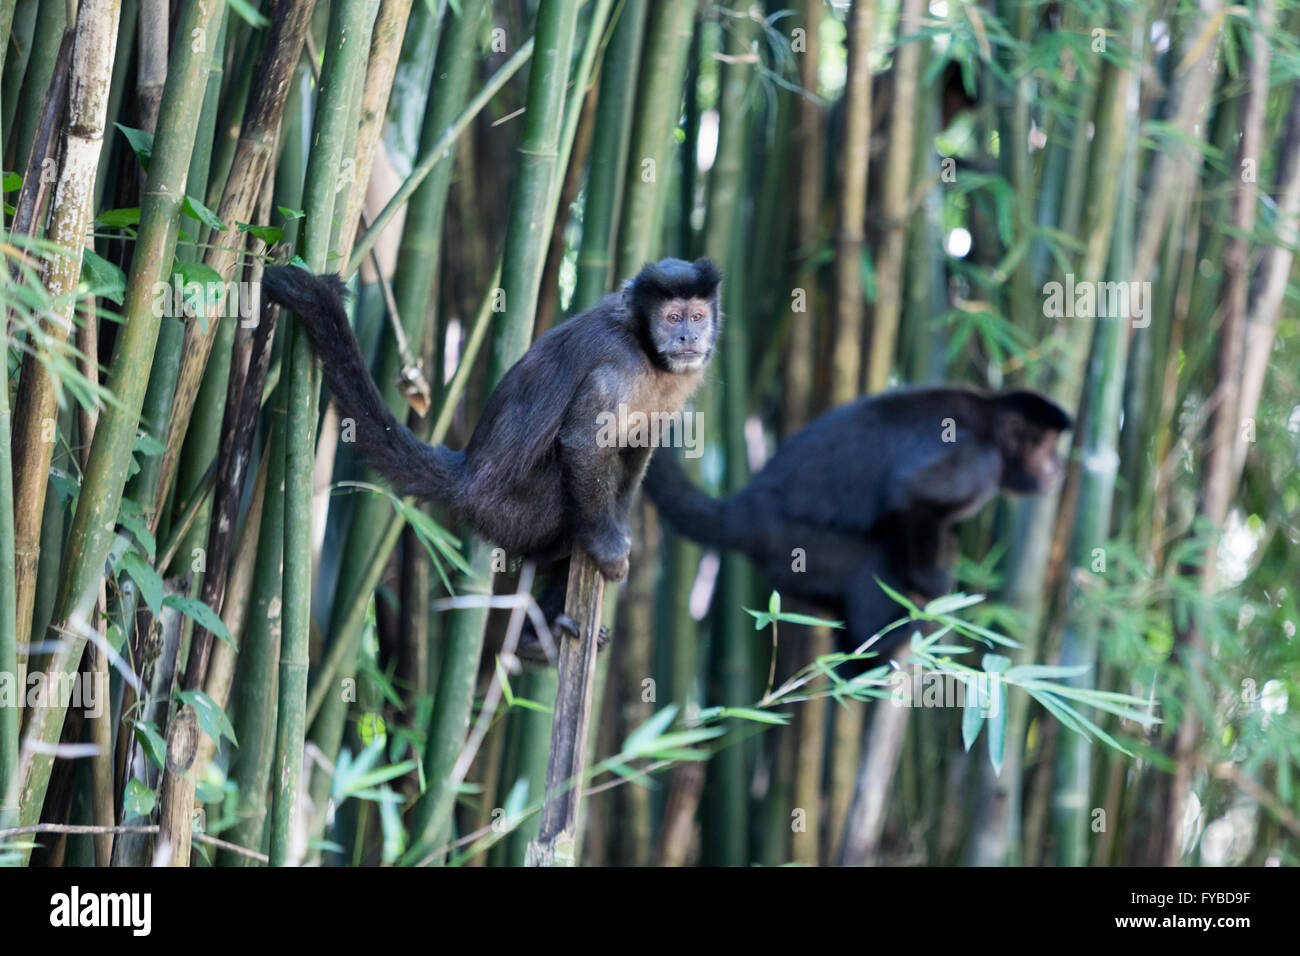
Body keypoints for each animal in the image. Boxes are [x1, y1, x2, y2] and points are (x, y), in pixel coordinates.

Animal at [260, 256, 728, 642]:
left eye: (697, 316)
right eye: (671, 317)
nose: (687, 336)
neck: (647, 352)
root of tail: (466, 472)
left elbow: (637, 449)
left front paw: (620, 524)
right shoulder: (614, 369)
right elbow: (582, 445)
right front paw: (608, 544)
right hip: (510, 512)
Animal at [644, 390, 1071, 665]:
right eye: (1048, 448)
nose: (1057, 467)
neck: (991, 433)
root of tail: (747, 506)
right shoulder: (978, 458)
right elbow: (907, 498)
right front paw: (932, 582)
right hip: (794, 547)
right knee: (870, 560)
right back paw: (878, 645)